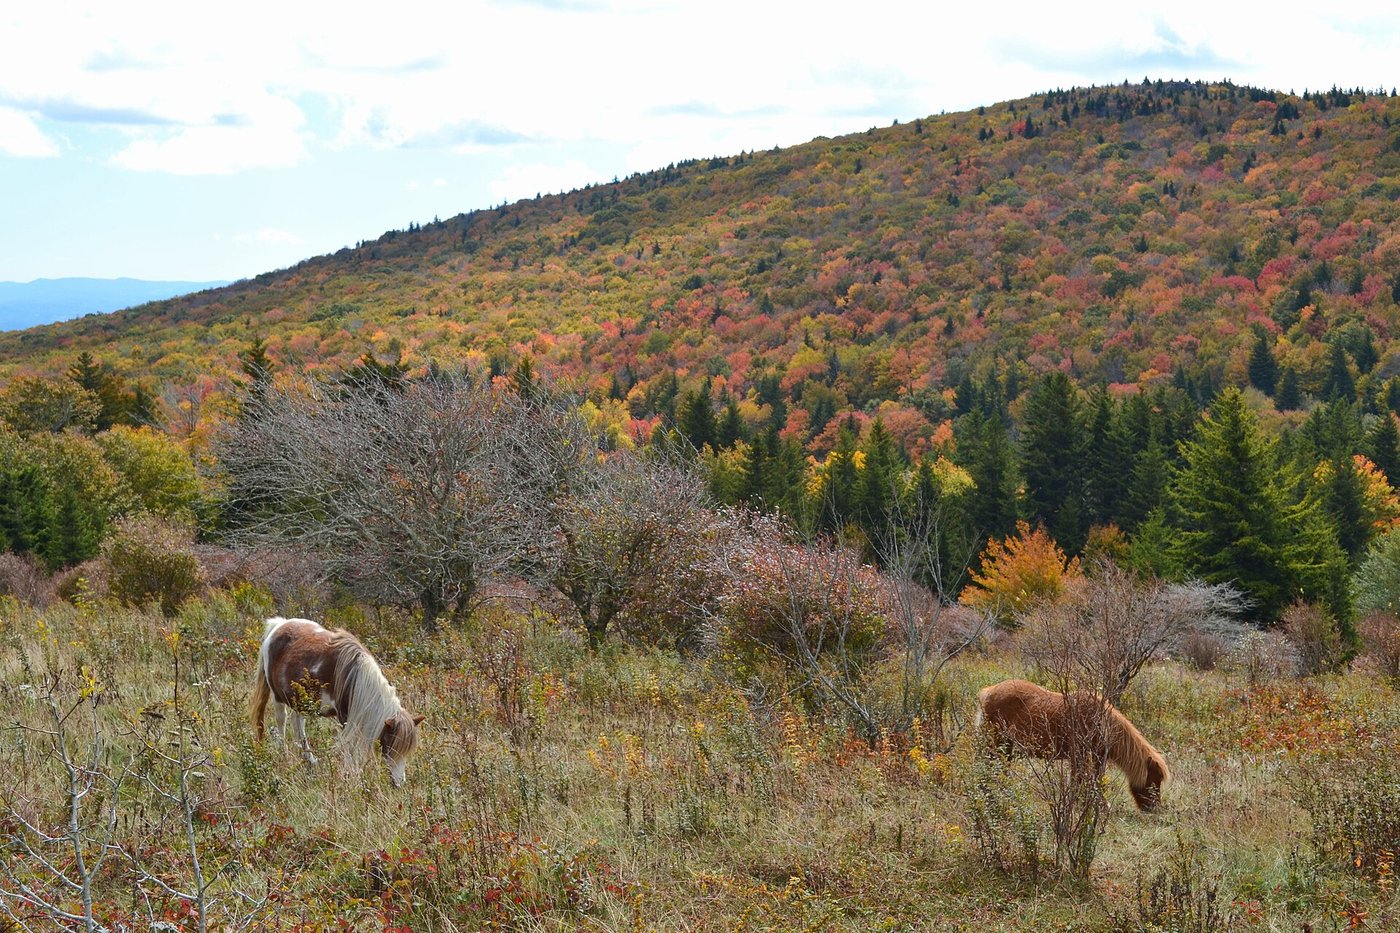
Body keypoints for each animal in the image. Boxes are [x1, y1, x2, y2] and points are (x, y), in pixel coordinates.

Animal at [251, 617, 423, 786]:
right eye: (390, 747)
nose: (399, 783)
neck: (355, 677)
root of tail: (279, 624)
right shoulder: (345, 718)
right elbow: (349, 746)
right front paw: (353, 775)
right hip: (278, 697)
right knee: (282, 721)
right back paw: (284, 753)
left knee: (298, 724)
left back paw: (310, 760)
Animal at [974, 678, 1169, 811]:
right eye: (1154, 780)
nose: (1154, 809)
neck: (1099, 721)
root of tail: (988, 691)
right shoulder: (1079, 756)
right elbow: (1079, 779)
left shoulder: (1094, 759)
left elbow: (1091, 779)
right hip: (997, 742)